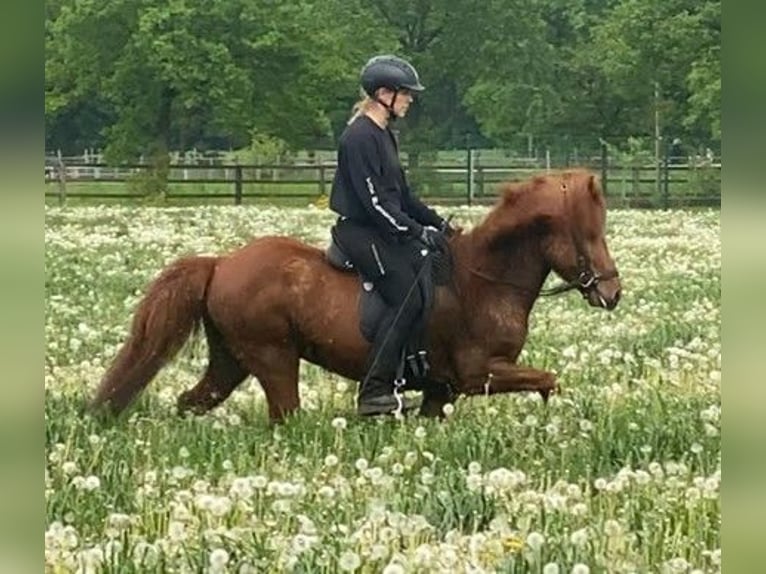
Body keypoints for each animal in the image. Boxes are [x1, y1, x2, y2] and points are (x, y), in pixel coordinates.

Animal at [88, 169, 624, 420]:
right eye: (589, 234)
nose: (612, 293)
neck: (483, 280)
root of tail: (222, 262)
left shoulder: (441, 390)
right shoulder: (478, 374)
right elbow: (549, 379)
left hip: (231, 360)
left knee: (192, 401)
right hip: (273, 358)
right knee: (283, 414)